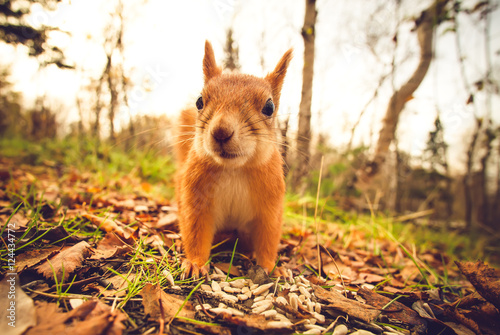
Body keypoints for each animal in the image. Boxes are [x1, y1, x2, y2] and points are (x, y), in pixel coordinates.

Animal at [175, 40, 292, 280]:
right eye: (199, 101)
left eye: (269, 107)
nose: (221, 131)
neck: (234, 169)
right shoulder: (196, 199)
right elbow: (195, 232)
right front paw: (195, 263)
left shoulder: (270, 206)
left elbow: (268, 239)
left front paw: (271, 268)